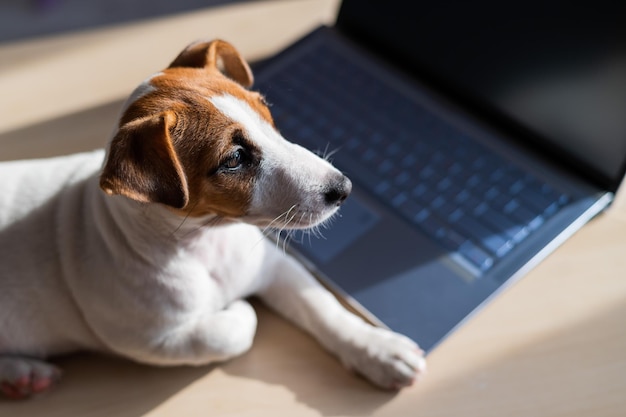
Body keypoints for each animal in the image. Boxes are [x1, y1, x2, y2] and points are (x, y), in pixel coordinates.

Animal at [0, 39, 424, 400]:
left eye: (268, 116)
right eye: (234, 159)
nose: (343, 188)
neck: (206, 243)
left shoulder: (275, 267)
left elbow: (323, 307)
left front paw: (378, 349)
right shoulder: (155, 340)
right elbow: (236, 330)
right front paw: (236, 308)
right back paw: (21, 373)